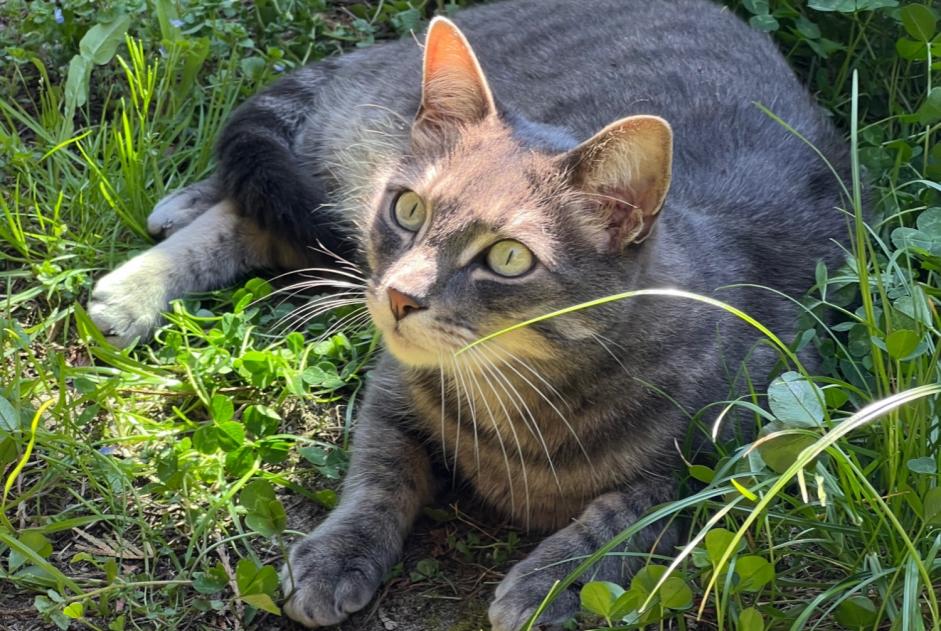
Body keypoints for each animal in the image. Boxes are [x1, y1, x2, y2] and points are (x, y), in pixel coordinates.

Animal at [90, 2, 852, 628]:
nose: (398, 295)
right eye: (407, 208)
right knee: (256, 202)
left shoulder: (744, 449)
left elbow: (634, 513)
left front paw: (553, 581)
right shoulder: (391, 388)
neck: (519, 395)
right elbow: (380, 471)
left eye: (508, 257)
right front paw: (339, 553)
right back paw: (139, 275)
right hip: (346, 167)